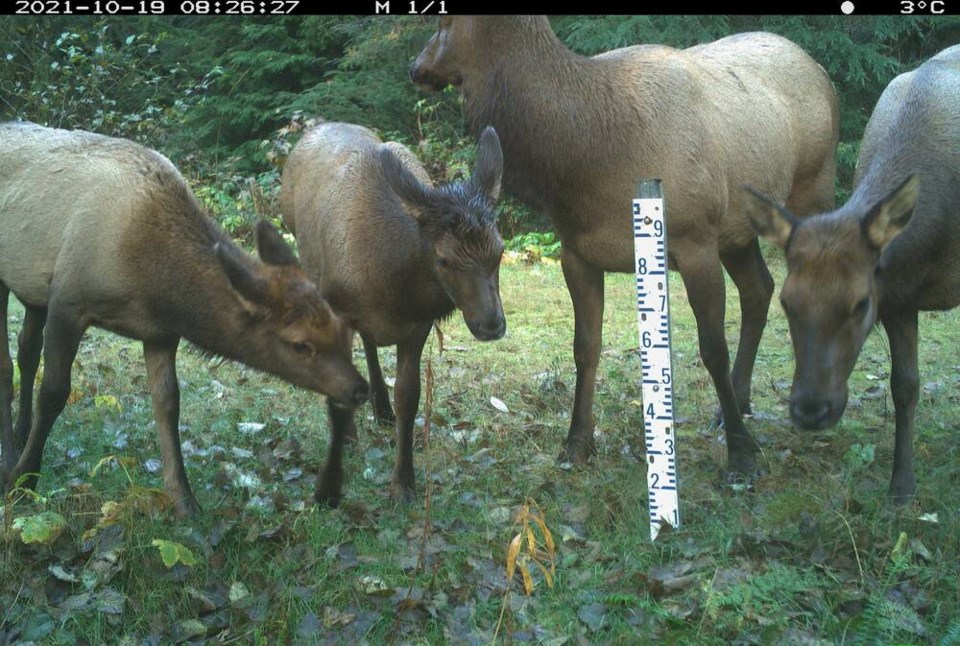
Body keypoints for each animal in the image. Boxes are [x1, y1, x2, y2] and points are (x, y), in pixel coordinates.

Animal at [0, 120, 370, 516]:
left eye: (341, 328)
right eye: (300, 344)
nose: (358, 388)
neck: (149, 280)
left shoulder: (160, 333)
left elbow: (168, 403)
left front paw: (183, 499)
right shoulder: (68, 300)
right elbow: (54, 392)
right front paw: (23, 480)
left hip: (34, 289)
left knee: (26, 352)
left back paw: (20, 432)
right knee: (7, 363)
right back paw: (9, 454)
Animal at [278, 120, 502, 506]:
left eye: (500, 250)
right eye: (443, 260)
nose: (492, 325)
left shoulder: (418, 325)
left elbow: (409, 397)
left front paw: (403, 483)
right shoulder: (335, 307)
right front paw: (343, 454)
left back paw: (382, 408)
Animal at [408, 16, 836, 480]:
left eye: (443, 20)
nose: (417, 67)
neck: (592, 156)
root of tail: (820, 71)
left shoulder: (696, 239)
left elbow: (711, 349)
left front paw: (742, 454)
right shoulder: (577, 253)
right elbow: (585, 348)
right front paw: (576, 443)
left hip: (811, 190)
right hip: (738, 229)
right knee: (759, 288)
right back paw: (736, 404)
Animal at [744, 44, 960, 506]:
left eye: (860, 303)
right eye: (786, 300)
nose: (811, 409)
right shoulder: (898, 296)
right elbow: (904, 385)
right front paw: (901, 486)